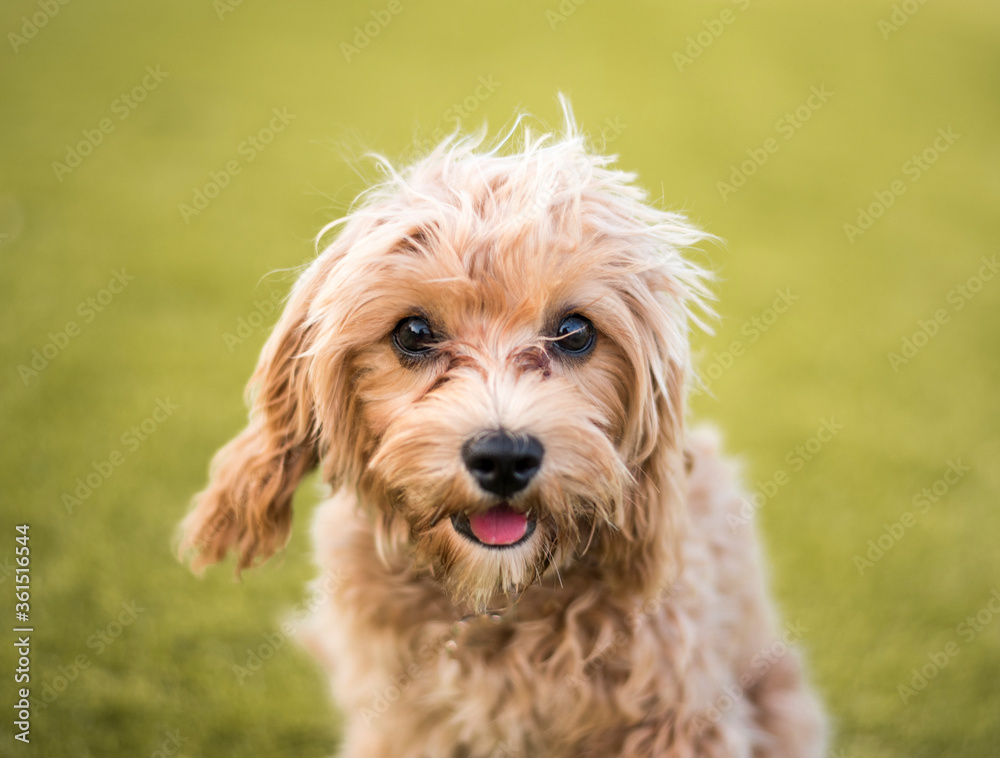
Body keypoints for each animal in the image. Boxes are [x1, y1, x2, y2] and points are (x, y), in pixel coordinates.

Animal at [178, 102, 820, 758]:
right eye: (414, 332)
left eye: (574, 332)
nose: (505, 456)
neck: (494, 602)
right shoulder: (402, 725)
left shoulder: (682, 723)